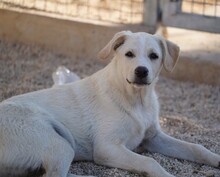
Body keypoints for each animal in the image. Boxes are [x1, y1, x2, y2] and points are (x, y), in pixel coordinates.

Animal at [0, 31, 220, 177]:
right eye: (129, 54)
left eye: (154, 56)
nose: (141, 71)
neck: (135, 100)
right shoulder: (107, 148)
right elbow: (149, 161)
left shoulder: (153, 137)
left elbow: (196, 148)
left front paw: (216, 159)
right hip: (60, 145)